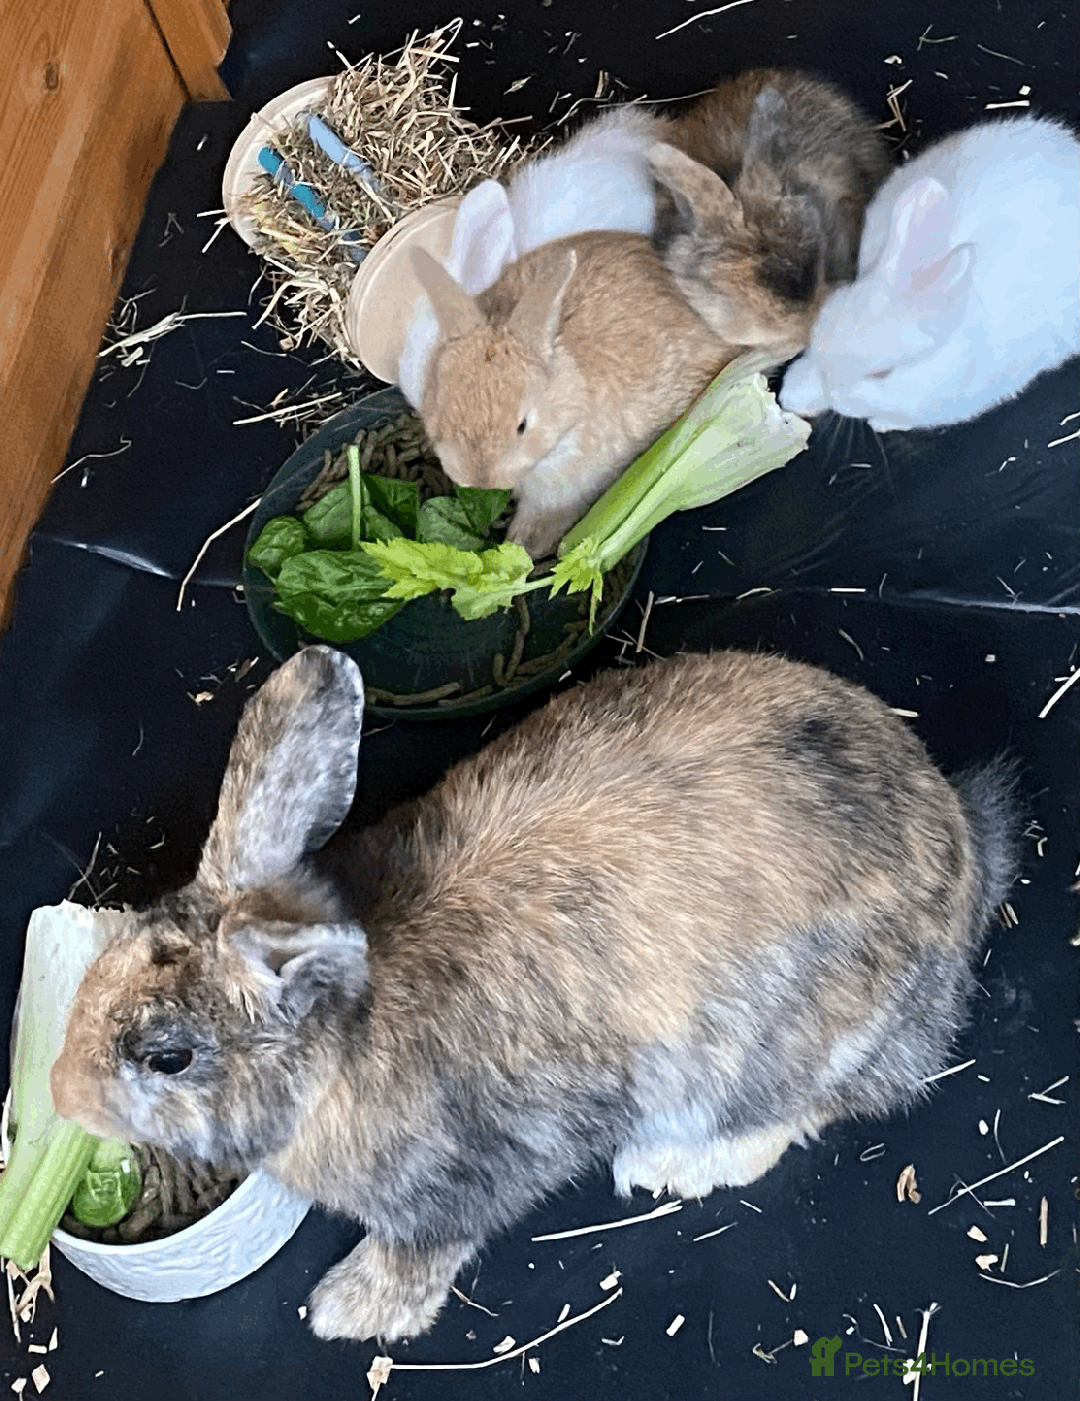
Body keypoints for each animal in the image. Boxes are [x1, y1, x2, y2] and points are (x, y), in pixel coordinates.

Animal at [51, 644, 1017, 1344]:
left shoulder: (459, 1184)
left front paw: (349, 1311)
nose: (61, 1093)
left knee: (800, 1114)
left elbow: (421, 1252)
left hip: (777, 1052)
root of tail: (968, 846)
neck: (334, 1052)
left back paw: (668, 1163)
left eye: (167, 1057)